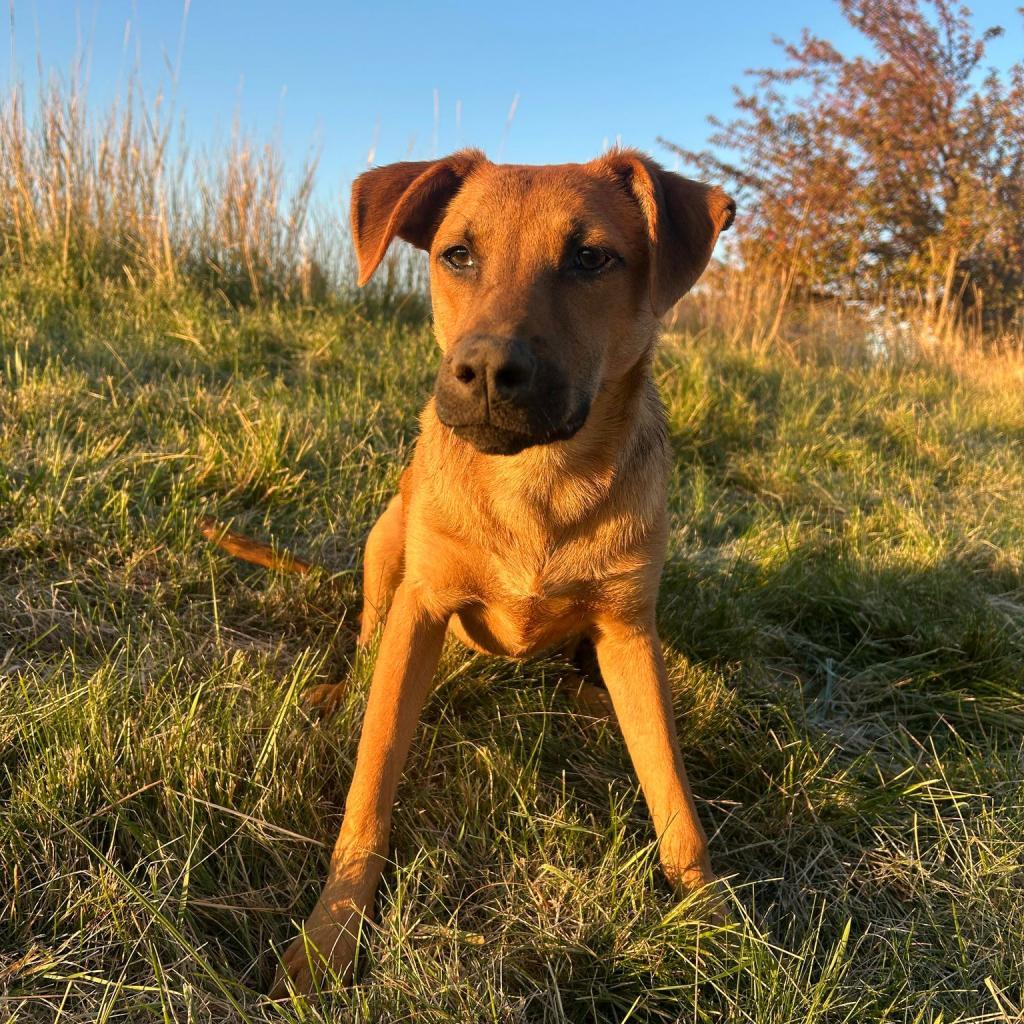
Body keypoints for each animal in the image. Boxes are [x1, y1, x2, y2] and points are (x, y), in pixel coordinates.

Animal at [203, 148, 733, 995]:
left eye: (591, 258)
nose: (484, 371)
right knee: (365, 640)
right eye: (458, 254)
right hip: (386, 538)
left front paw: (714, 918)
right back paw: (338, 691)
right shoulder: (421, 611)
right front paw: (329, 937)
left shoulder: (629, 627)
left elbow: (673, 795)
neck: (538, 483)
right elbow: (370, 787)